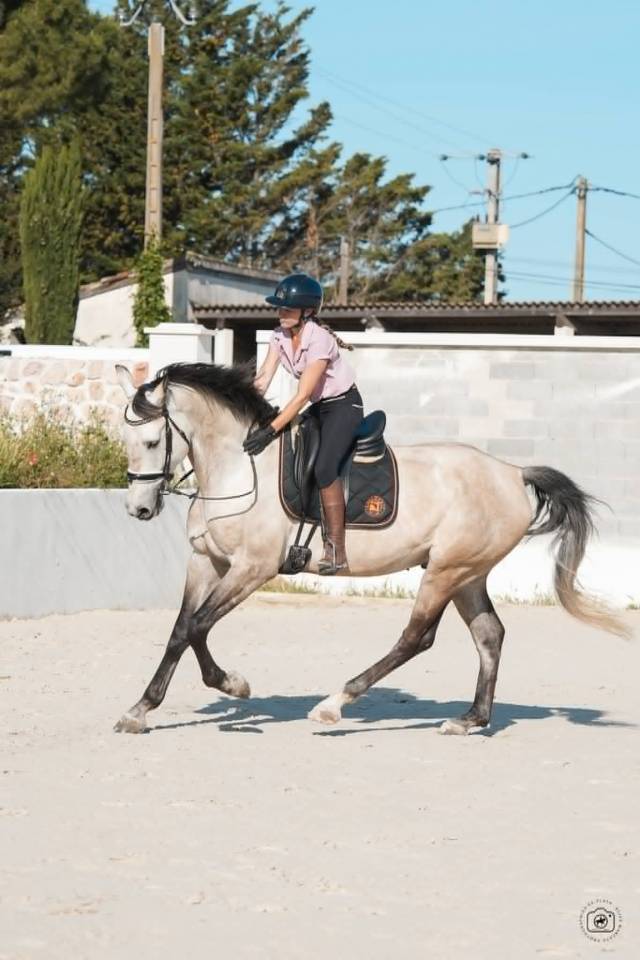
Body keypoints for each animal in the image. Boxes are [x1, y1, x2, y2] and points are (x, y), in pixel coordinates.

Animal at [113, 361, 627, 735]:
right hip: (468, 573)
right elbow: (182, 629)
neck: (239, 468)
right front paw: (141, 709)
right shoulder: (207, 562)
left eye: (153, 441)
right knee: (489, 635)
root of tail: (513, 473)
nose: (138, 509)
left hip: (445, 571)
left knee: (416, 638)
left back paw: (333, 705)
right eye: (126, 440)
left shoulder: (252, 568)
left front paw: (231, 685)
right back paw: (470, 719)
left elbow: (198, 626)